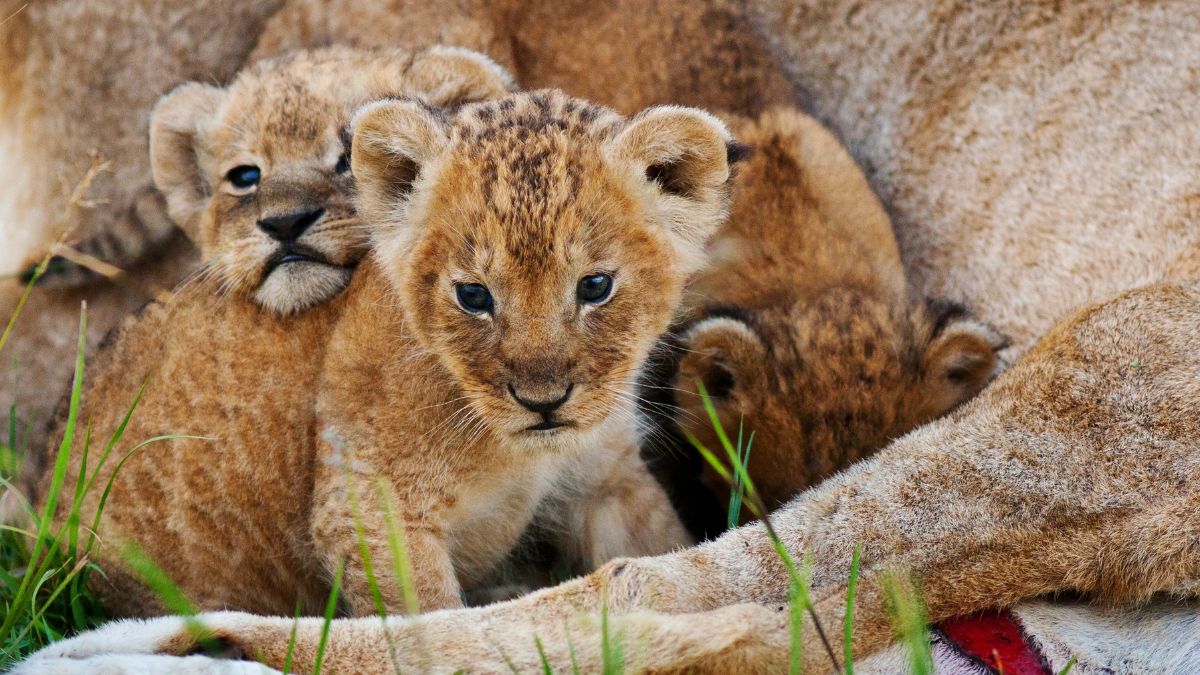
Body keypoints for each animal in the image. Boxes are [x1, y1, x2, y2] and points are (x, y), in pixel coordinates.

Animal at [29, 88, 738, 619]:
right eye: (474, 295)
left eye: (595, 287)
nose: (543, 403)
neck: (523, 452)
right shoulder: (369, 509)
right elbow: (435, 629)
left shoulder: (608, 482)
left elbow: (661, 554)